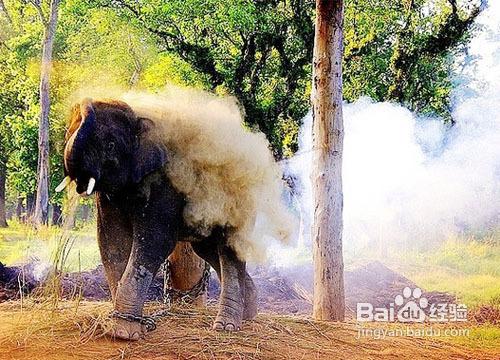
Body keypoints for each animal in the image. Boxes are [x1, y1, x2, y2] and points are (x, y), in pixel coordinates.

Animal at [58, 98, 258, 340]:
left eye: (111, 145)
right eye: (67, 134)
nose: (87, 101)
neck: (140, 118)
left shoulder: (165, 184)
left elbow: (155, 242)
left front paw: (124, 333)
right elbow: (112, 243)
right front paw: (121, 328)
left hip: (239, 202)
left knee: (230, 248)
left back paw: (226, 326)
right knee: (208, 250)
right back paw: (248, 313)